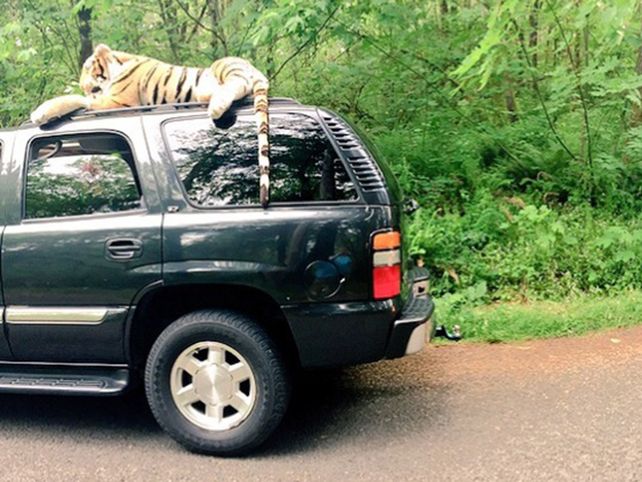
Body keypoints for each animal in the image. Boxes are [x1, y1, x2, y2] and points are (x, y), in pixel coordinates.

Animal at [30, 44, 271, 207]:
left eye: (90, 79)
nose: (88, 87)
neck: (120, 63)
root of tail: (259, 73)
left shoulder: (117, 102)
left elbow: (77, 100)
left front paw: (41, 112)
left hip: (225, 65)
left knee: (238, 81)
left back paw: (216, 104)